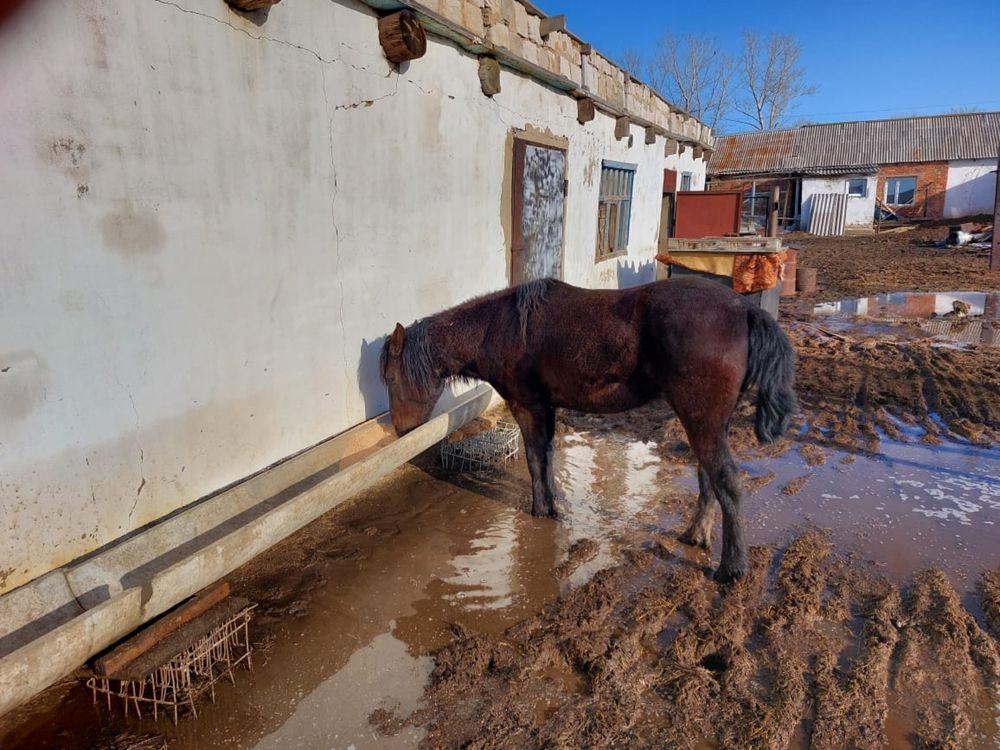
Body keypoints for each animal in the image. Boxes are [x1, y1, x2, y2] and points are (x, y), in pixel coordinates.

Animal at [382, 280, 796, 584]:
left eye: (390, 376)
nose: (401, 429)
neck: (501, 327)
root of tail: (745, 309)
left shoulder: (526, 405)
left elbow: (534, 459)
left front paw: (541, 509)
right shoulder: (546, 407)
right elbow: (547, 456)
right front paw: (553, 504)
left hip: (701, 420)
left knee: (726, 481)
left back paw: (731, 569)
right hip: (707, 423)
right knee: (708, 476)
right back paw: (695, 535)